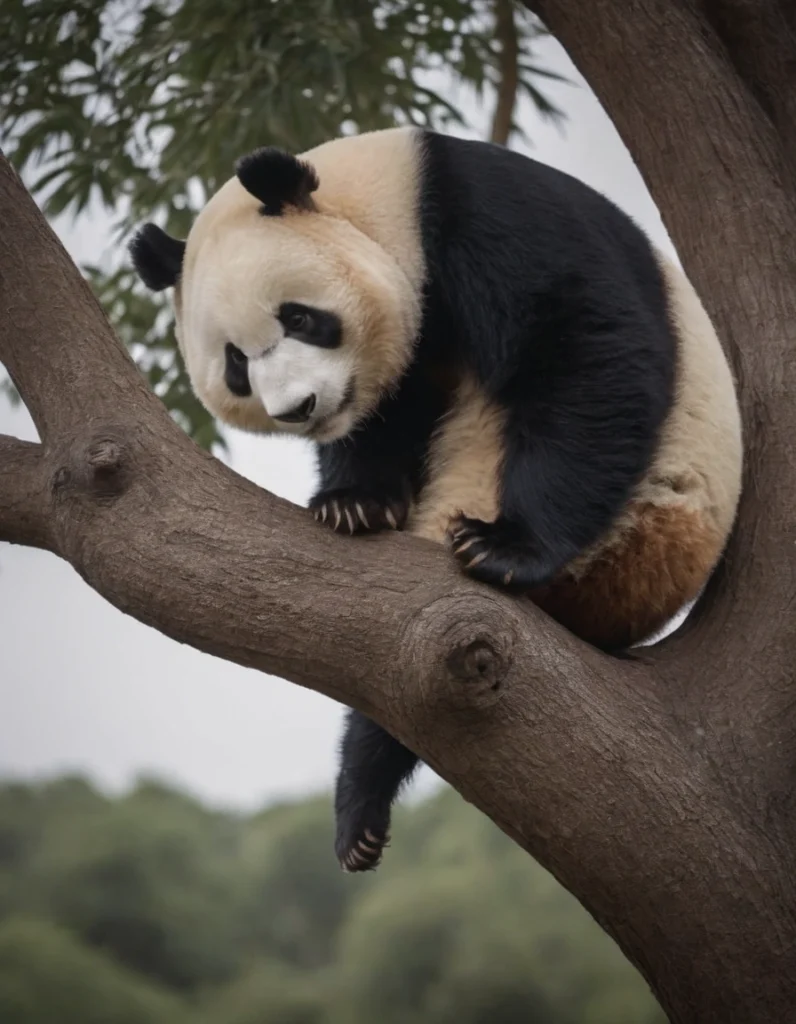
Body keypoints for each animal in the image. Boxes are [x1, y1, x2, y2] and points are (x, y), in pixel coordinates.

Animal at [127, 121, 741, 872]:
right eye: (237, 364)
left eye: (299, 318)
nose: (300, 408)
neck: (390, 203)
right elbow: (388, 413)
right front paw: (355, 502)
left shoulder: (494, 220)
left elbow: (584, 348)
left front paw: (509, 546)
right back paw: (360, 809)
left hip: (634, 525)